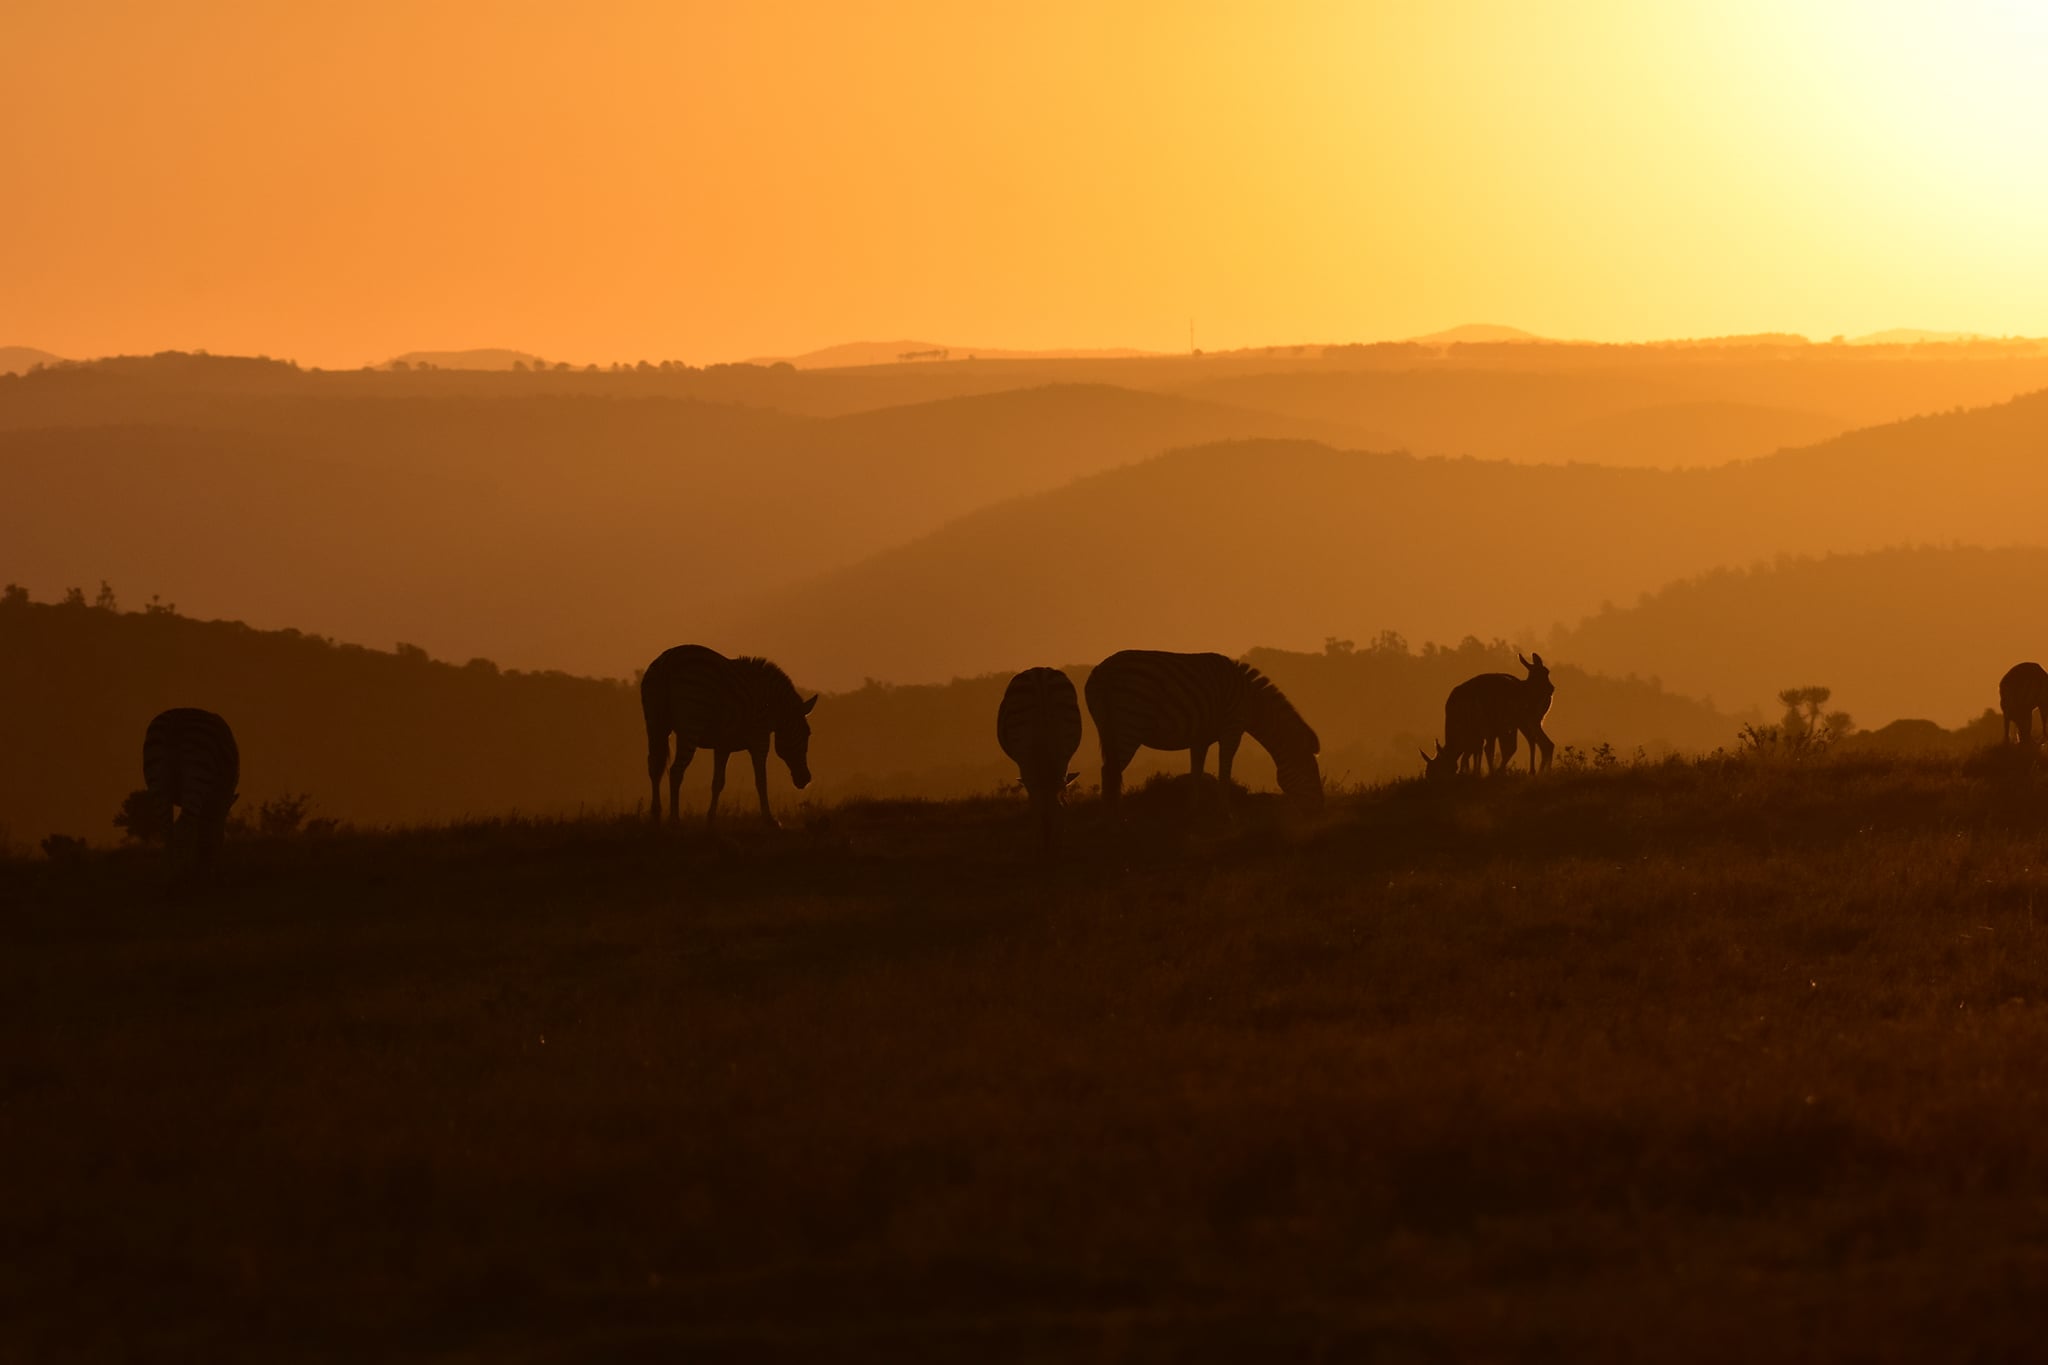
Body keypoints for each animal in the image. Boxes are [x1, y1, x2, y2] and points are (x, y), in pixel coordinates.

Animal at [144, 712, 241, 871]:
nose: (209, 864)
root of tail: (176, 719)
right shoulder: (220, 796)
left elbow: (195, 831)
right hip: (198, 773)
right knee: (182, 826)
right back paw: (181, 869)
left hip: (158, 782)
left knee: (167, 829)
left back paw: (168, 869)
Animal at [638, 646, 815, 826]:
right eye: (807, 734)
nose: (806, 780)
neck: (773, 707)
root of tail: (667, 662)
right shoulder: (760, 738)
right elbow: (761, 780)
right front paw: (770, 820)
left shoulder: (723, 745)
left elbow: (718, 782)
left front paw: (710, 819)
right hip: (690, 727)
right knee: (675, 771)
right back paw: (674, 819)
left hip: (655, 725)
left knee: (654, 766)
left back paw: (656, 815)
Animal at [1081, 650, 1318, 806]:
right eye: (1311, 773)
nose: (1320, 811)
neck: (1251, 703)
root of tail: (1105, 670)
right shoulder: (1232, 728)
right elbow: (1224, 769)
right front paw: (1225, 811)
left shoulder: (1200, 738)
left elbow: (1197, 772)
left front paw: (1194, 809)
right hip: (1129, 721)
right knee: (1111, 771)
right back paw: (1114, 817)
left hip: (1106, 727)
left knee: (1108, 770)